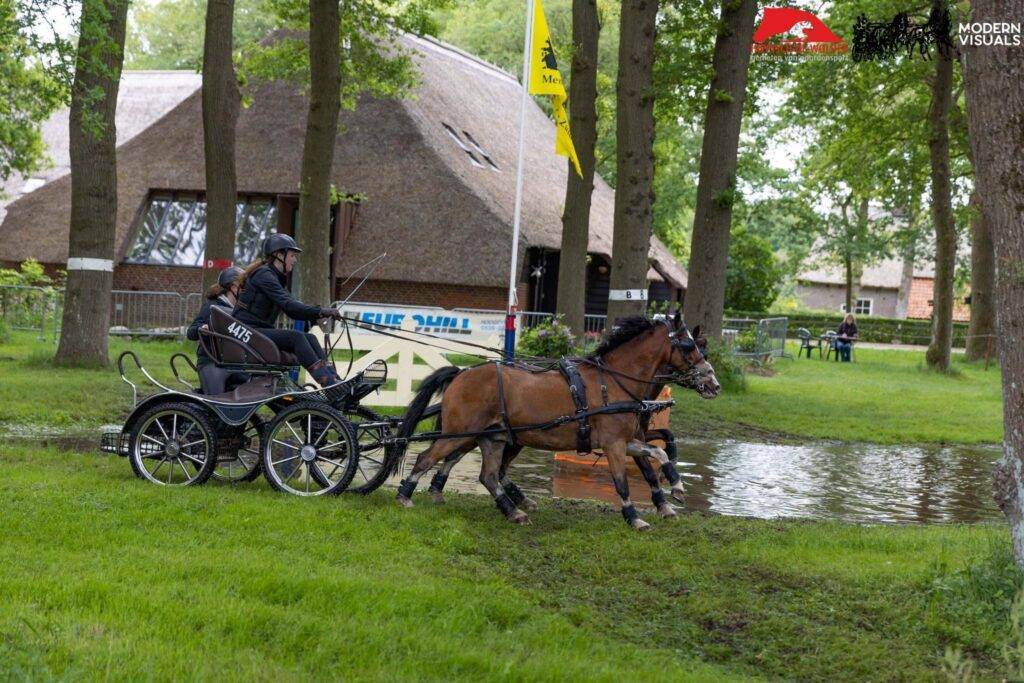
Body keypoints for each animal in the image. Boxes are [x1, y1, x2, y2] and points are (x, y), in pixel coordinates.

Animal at [391, 317, 720, 532]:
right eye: (689, 346)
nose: (714, 384)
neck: (614, 382)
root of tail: (461, 373)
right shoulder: (614, 444)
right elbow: (622, 482)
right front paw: (634, 517)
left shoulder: (628, 440)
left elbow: (658, 455)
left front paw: (674, 489)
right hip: (459, 432)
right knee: (428, 457)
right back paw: (405, 496)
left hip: (493, 438)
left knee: (488, 475)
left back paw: (512, 511)